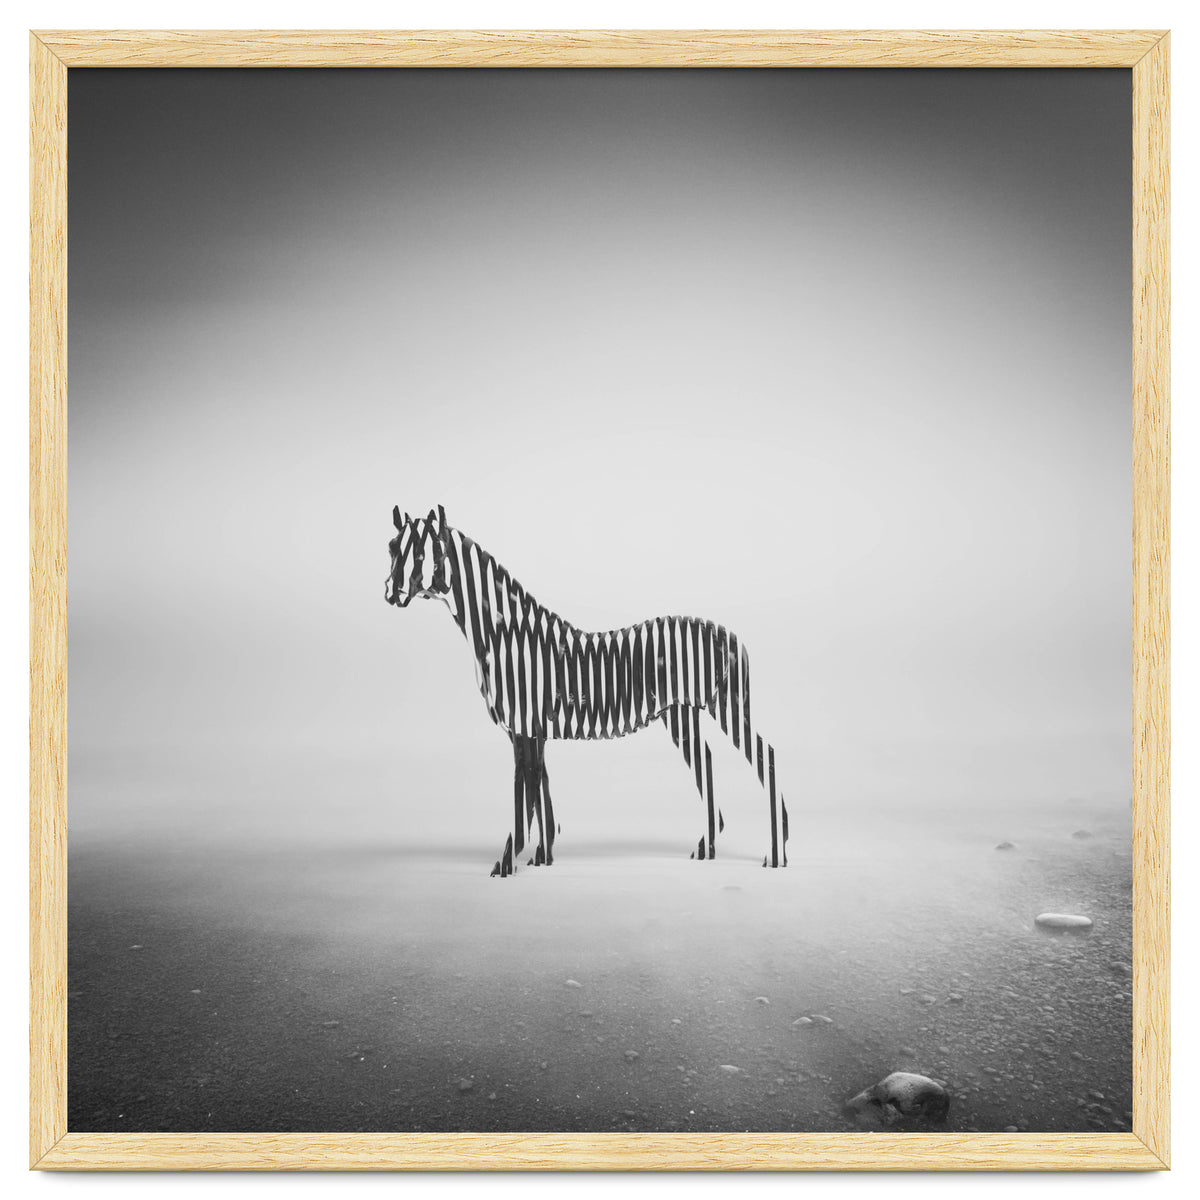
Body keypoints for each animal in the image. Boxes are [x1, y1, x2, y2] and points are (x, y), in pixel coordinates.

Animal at [385, 505, 789, 876]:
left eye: (422, 554)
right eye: (392, 547)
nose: (391, 592)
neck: (508, 636)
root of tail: (731, 635)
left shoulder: (524, 726)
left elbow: (525, 797)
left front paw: (507, 862)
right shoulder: (533, 730)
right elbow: (542, 793)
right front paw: (542, 857)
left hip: (726, 706)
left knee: (765, 756)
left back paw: (776, 854)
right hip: (681, 714)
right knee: (707, 761)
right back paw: (707, 848)